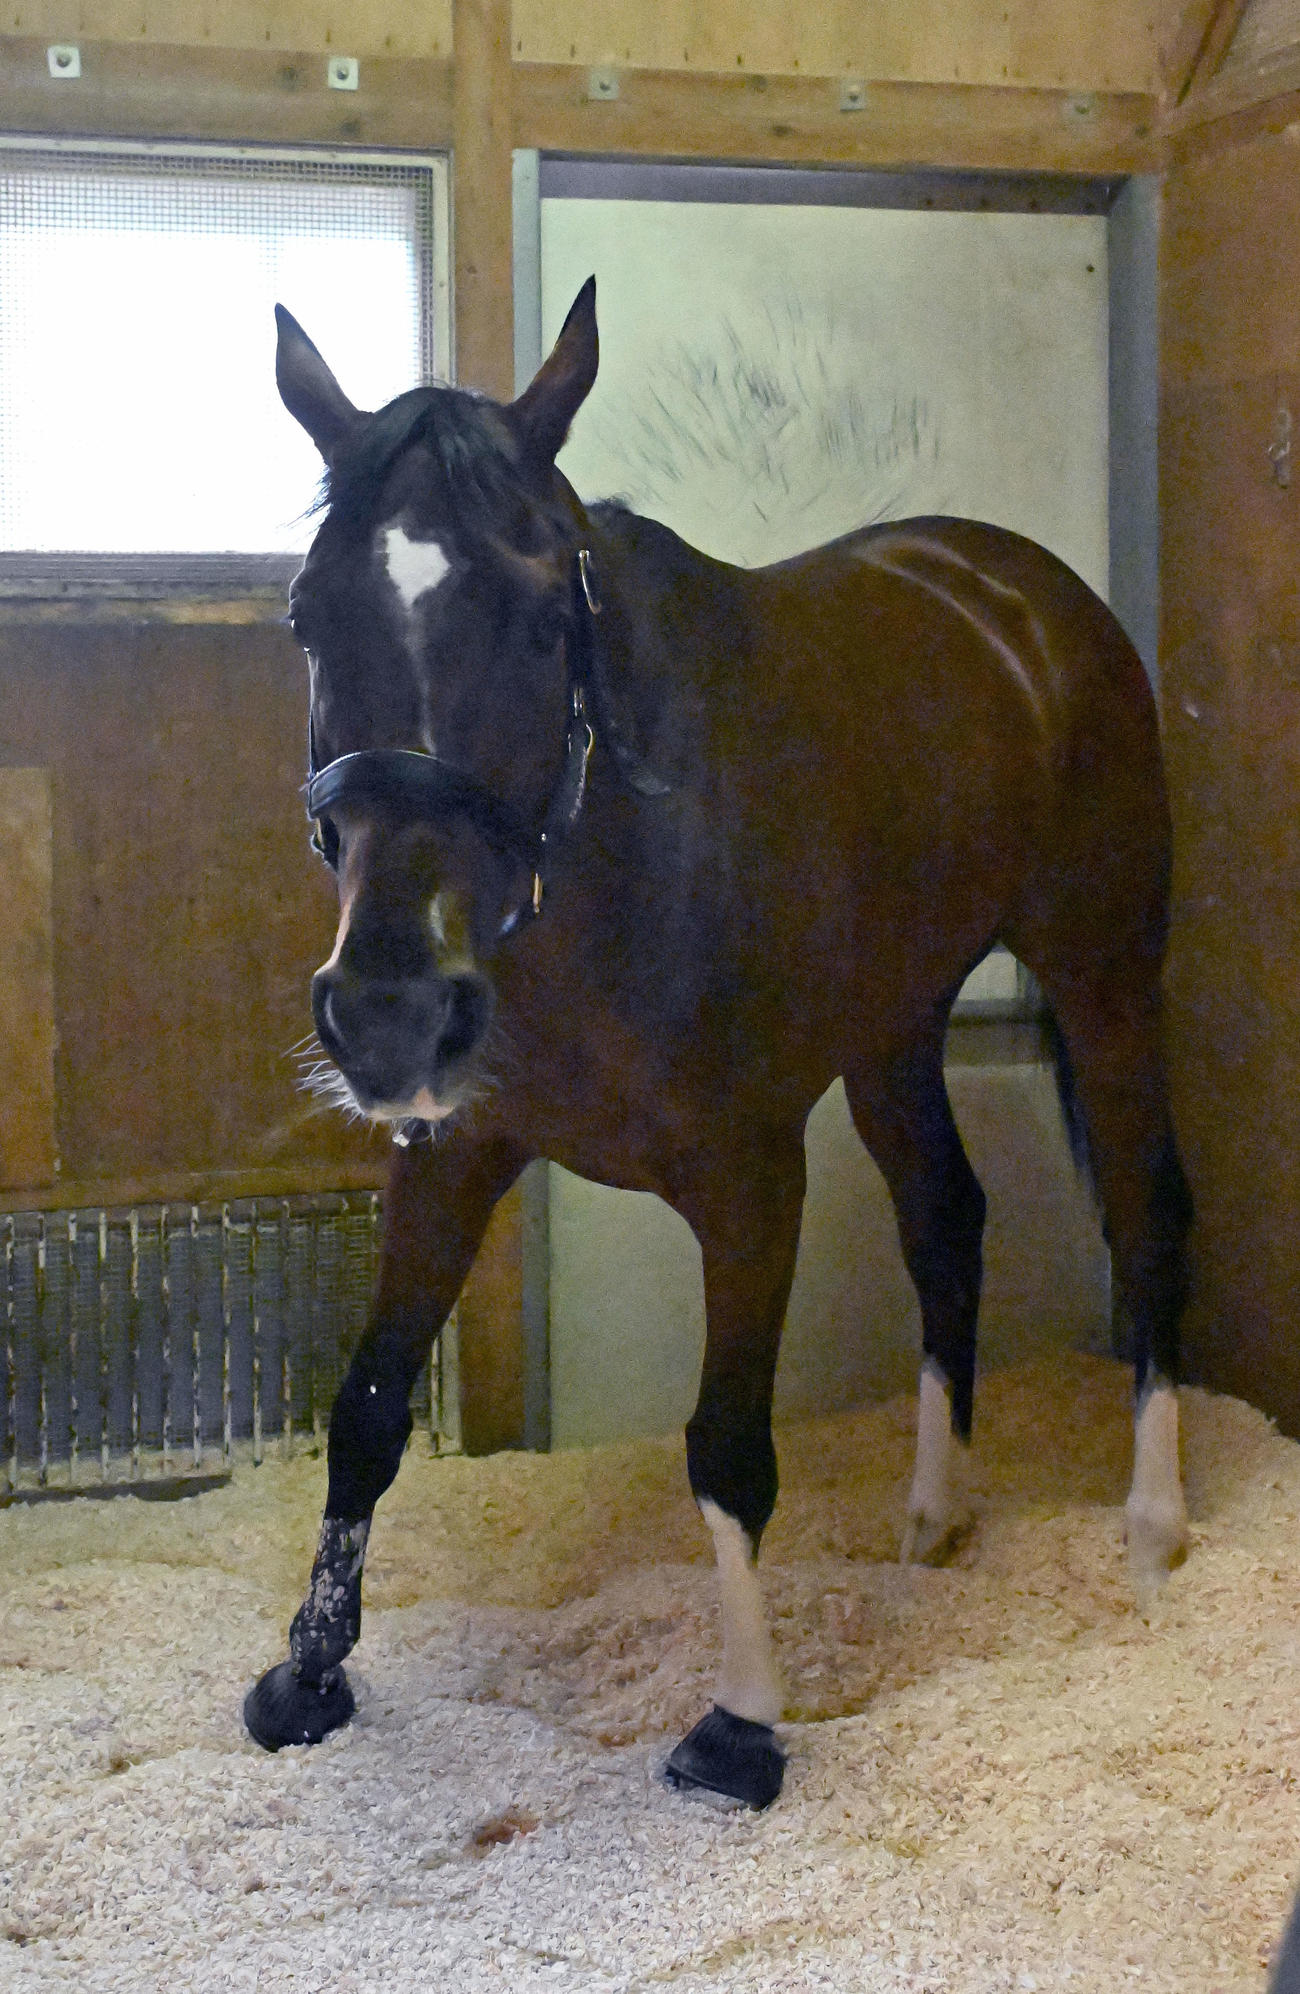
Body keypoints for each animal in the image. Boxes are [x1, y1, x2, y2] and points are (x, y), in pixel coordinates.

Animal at [243, 278, 1193, 1809]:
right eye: (307, 615)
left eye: (540, 615)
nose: (389, 1010)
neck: (607, 872)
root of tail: (1021, 594)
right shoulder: (450, 1154)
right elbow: (373, 1400)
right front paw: (307, 1670)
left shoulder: (751, 1182)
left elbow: (727, 1448)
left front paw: (742, 1722)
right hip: (892, 1031)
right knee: (946, 1217)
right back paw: (936, 1512)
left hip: (1106, 978)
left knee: (1149, 1204)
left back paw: (1154, 1521)